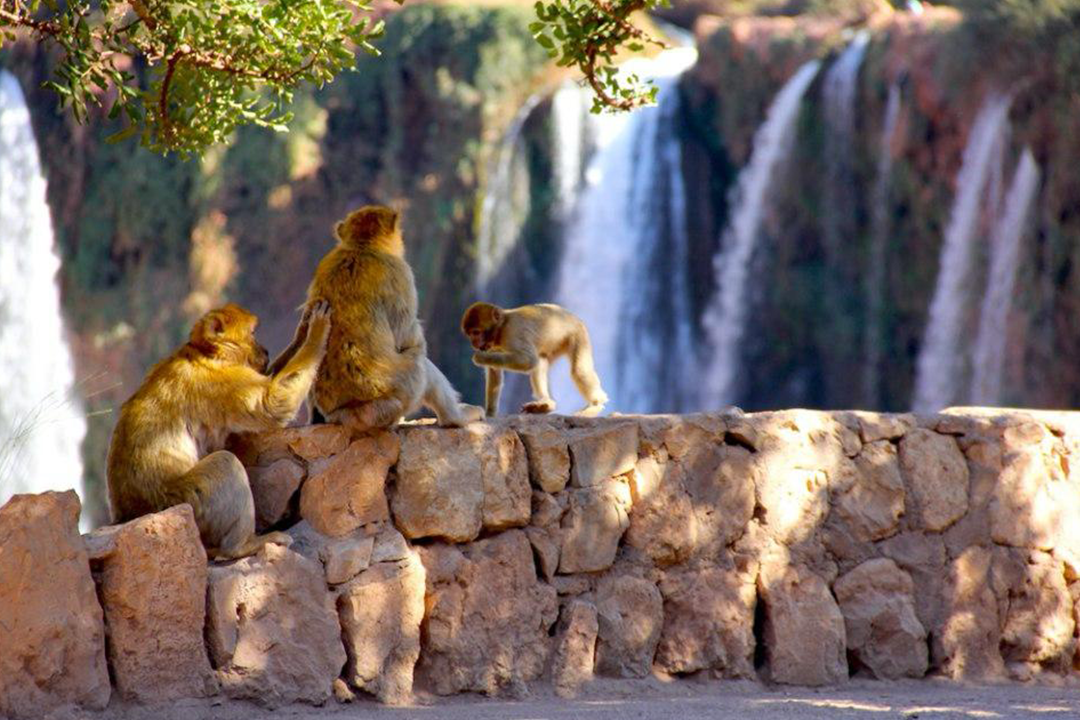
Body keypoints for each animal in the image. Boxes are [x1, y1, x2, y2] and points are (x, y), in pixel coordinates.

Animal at [109, 302, 330, 561]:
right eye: (253, 333)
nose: (265, 351)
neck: (207, 353)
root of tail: (133, 512)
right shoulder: (222, 381)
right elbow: (272, 405)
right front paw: (316, 335)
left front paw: (301, 335)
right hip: (187, 503)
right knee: (225, 463)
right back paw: (242, 546)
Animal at [274, 205, 481, 431]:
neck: (361, 247)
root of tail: (354, 412)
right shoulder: (400, 272)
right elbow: (407, 337)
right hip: (400, 391)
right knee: (420, 363)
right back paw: (455, 417)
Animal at [457, 302, 613, 418]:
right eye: (470, 334)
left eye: (476, 332)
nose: (474, 343)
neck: (501, 329)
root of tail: (572, 316)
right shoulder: (491, 346)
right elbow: (495, 371)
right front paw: (490, 414)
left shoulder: (513, 331)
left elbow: (528, 360)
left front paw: (479, 358)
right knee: (540, 363)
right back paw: (546, 404)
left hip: (577, 333)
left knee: (579, 371)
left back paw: (596, 405)